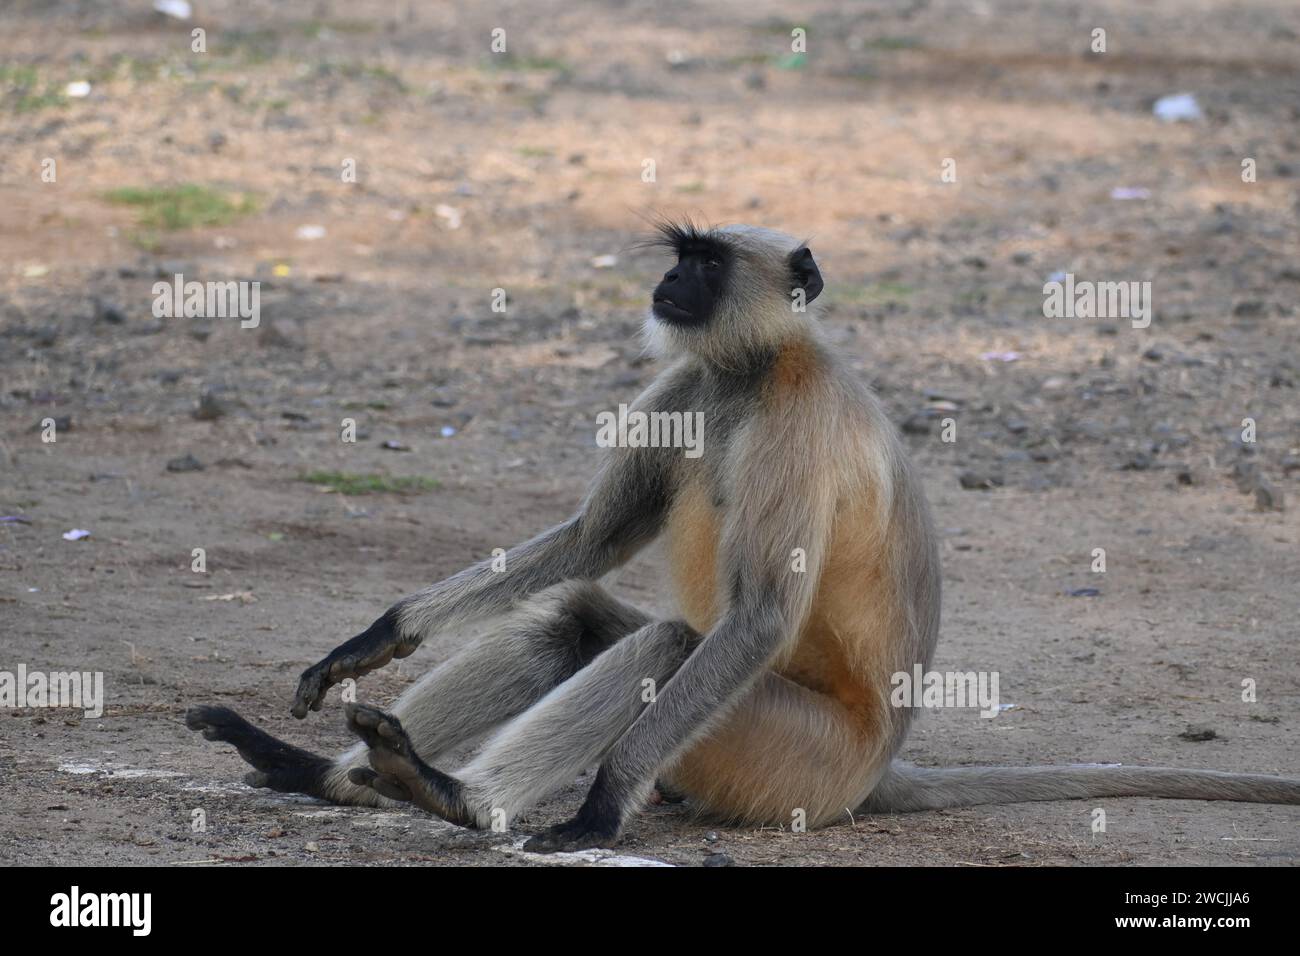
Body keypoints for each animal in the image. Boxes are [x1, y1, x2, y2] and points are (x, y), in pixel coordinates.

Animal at [188, 218, 1300, 853]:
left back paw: (455, 796)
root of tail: (874, 765)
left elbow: (759, 613)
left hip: (782, 758)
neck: (752, 368)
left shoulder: (795, 425)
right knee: (573, 615)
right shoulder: (690, 379)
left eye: (708, 263)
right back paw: (333, 771)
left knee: (672, 644)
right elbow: (593, 538)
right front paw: (372, 639)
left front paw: (598, 810)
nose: (671, 285)